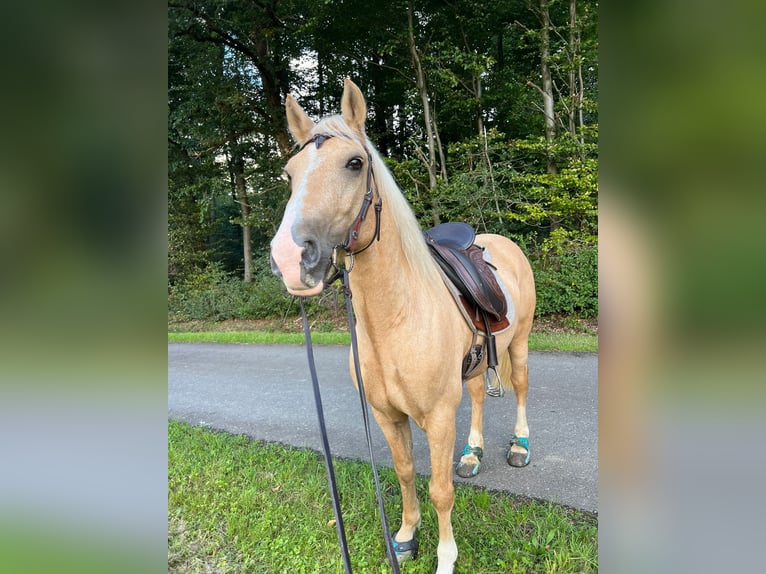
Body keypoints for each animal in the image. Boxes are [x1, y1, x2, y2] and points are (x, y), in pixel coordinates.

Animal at [270, 78, 536, 574]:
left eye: (355, 163)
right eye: (289, 174)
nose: (290, 258)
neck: (394, 321)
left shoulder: (438, 416)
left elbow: (440, 490)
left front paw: (445, 557)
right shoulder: (386, 415)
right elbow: (406, 472)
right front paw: (407, 537)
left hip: (521, 342)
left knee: (523, 389)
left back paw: (519, 447)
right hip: (476, 364)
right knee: (477, 397)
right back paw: (472, 453)